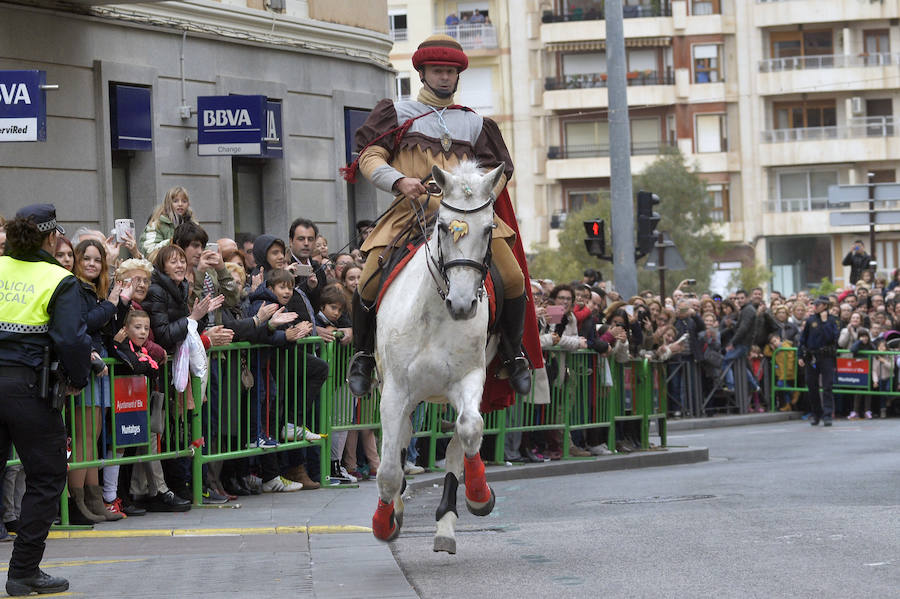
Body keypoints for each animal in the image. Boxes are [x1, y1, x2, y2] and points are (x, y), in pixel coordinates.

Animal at [370, 161, 502, 556]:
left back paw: (447, 524)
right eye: (443, 226)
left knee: (459, 443)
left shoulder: (470, 378)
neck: (434, 313)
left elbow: (470, 429)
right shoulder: (394, 390)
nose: (462, 305)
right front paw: (384, 522)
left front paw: (479, 496)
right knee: (401, 442)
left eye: (489, 229)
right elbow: (388, 468)